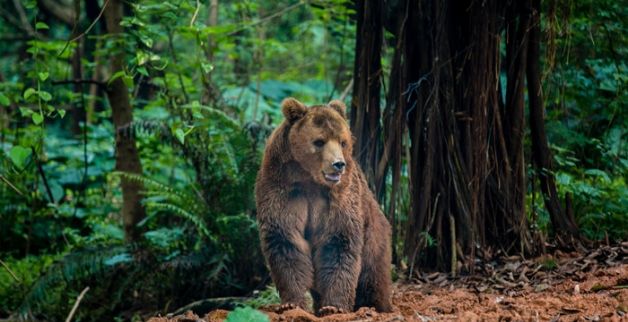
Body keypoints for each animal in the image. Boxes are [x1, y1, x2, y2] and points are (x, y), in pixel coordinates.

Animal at [253, 97, 390, 316]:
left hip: (374, 238)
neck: (309, 178)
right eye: (319, 141)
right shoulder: (281, 189)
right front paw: (291, 303)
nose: (338, 164)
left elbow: (338, 243)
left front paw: (334, 306)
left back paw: (375, 306)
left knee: (373, 277)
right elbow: (285, 240)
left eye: (342, 141)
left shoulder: (339, 197)